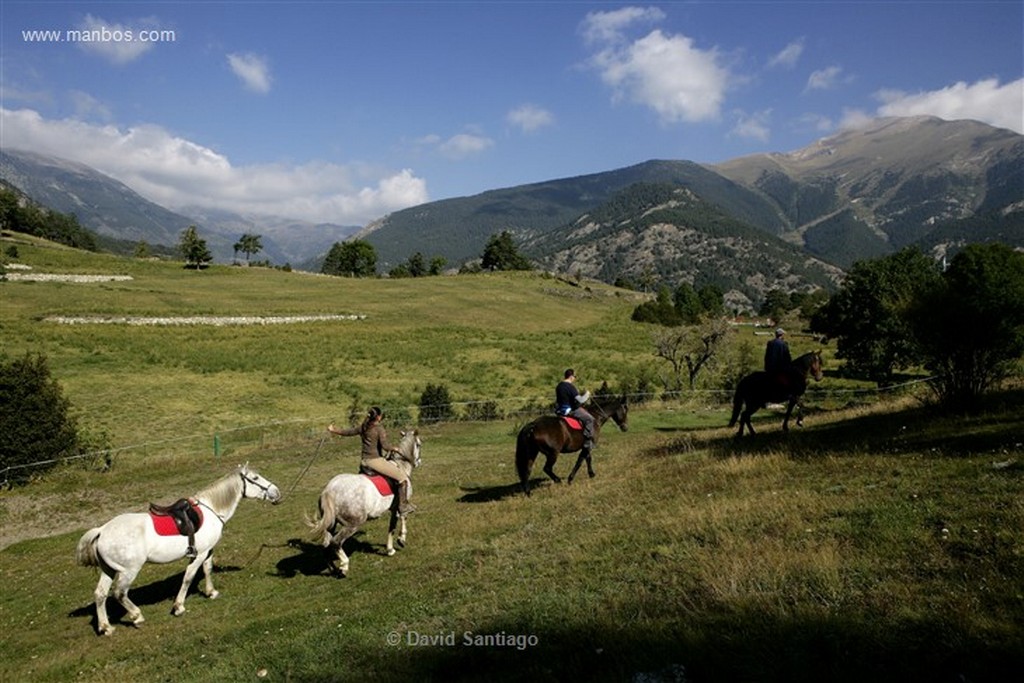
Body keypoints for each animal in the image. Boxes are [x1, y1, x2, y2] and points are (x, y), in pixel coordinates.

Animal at [74, 464, 284, 634]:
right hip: (129, 571)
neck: (211, 510)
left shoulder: (208, 551)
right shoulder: (199, 555)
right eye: (255, 478)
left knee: (100, 595)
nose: (276, 492)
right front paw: (179, 607)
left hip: (108, 570)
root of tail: (102, 530)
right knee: (119, 593)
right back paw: (137, 616)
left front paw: (211, 592)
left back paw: (106, 627)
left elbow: (207, 570)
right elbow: (188, 578)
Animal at [311, 432, 423, 577]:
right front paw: (399, 542)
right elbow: (401, 519)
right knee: (335, 542)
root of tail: (329, 491)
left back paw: (333, 569)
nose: (419, 462)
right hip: (353, 524)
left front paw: (392, 547)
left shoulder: (393, 509)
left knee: (326, 544)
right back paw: (344, 566)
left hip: (331, 524)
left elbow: (392, 526)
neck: (400, 466)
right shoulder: (399, 506)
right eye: (419, 444)